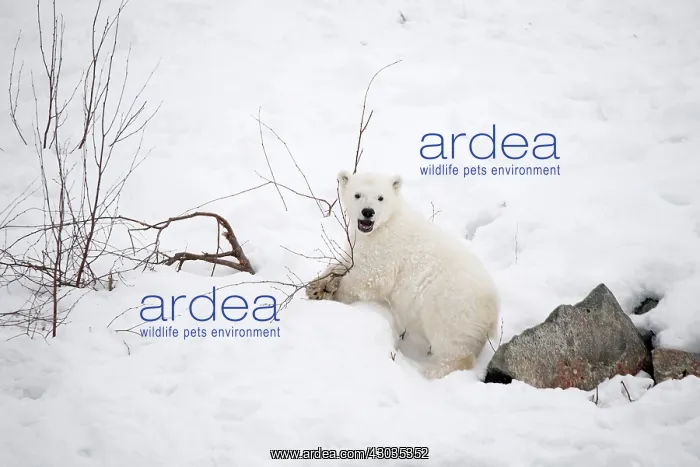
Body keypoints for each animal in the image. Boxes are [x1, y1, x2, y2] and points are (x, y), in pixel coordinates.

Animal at [306, 170, 500, 379]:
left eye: (380, 197)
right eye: (357, 194)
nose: (368, 212)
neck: (387, 222)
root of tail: (493, 309)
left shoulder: (385, 248)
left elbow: (369, 278)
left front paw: (332, 293)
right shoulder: (360, 242)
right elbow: (347, 261)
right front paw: (316, 285)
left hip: (452, 306)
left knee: (451, 343)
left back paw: (433, 371)